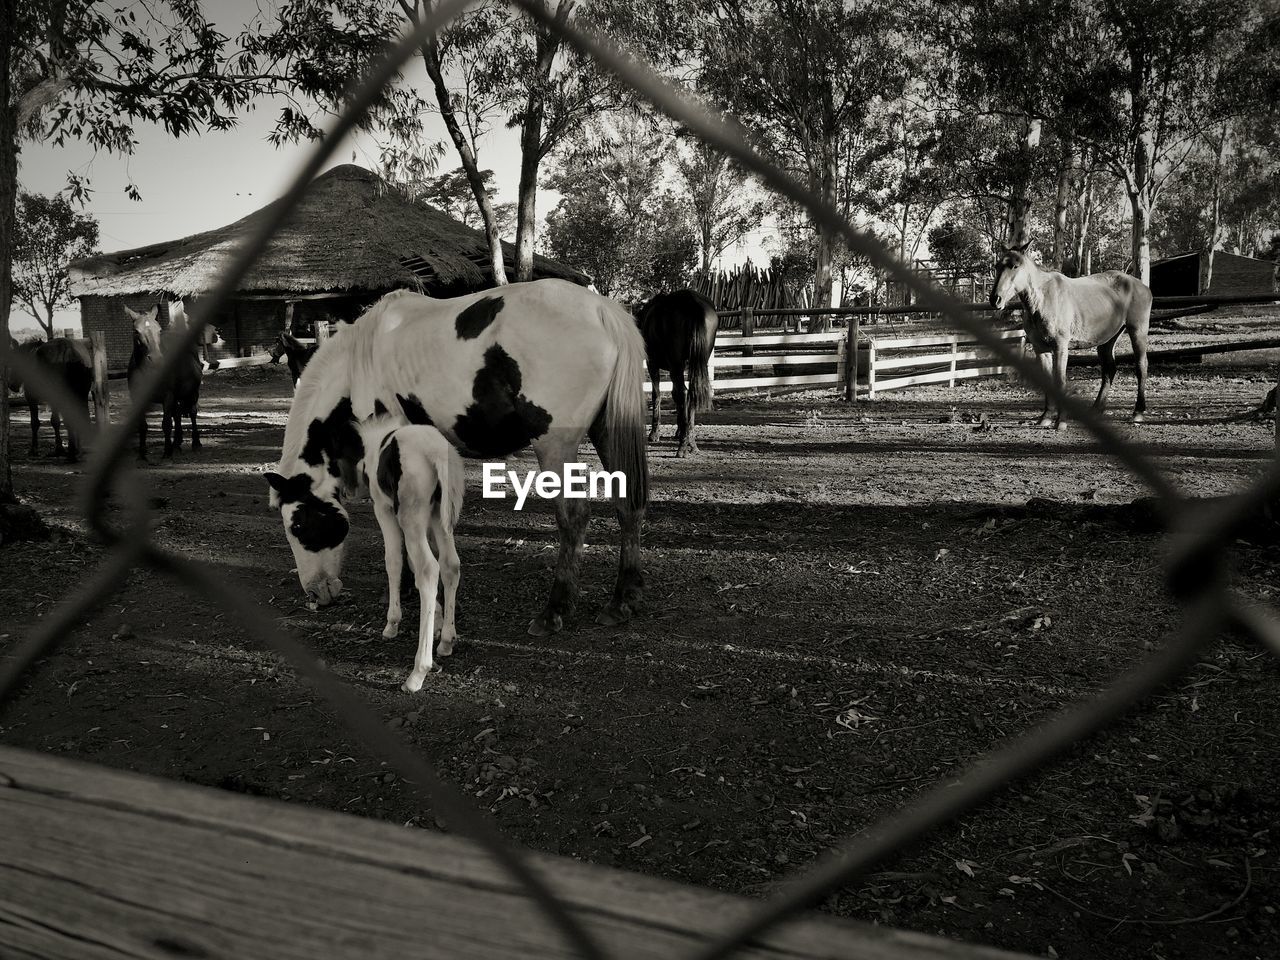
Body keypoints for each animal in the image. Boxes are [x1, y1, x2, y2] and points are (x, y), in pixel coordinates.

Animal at [126, 305, 206, 460]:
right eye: (136, 331)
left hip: (192, 393)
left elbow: (167, 424)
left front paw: (167, 452)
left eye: (159, 330)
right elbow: (142, 426)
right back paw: (177, 444)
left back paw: (196, 443)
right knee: (178, 415)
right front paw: (142, 453)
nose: (156, 359)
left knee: (192, 413)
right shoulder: (137, 398)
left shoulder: (167, 396)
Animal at [267, 277, 650, 640]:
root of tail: (603, 311)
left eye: (297, 526)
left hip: (555, 445)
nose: (316, 593)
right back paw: (622, 600)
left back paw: (554, 609)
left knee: (574, 517)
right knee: (628, 504)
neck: (358, 367)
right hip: (606, 433)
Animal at [350, 417, 465, 696]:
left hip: (409, 515)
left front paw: (392, 624)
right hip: (439, 517)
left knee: (428, 568)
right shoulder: (434, 516)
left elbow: (394, 560)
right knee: (450, 565)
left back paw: (417, 673)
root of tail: (435, 451)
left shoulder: (384, 509)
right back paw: (446, 641)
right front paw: (438, 621)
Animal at [632, 289, 716, 458]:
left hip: (675, 364)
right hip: (696, 362)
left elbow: (657, 395)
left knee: (683, 393)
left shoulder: (653, 364)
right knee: (690, 393)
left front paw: (654, 433)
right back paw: (690, 441)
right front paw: (680, 429)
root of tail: (691, 301)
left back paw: (683, 446)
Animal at [983, 245, 1157, 430]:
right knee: (1109, 370)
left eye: (1015, 266)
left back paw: (1138, 412)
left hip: (1137, 331)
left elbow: (1060, 381)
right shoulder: (1040, 349)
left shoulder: (1060, 347)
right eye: (997, 266)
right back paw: (1096, 410)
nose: (995, 299)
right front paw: (1046, 416)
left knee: (1141, 366)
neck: (1042, 299)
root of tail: (1142, 286)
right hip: (1107, 340)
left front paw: (1061, 421)